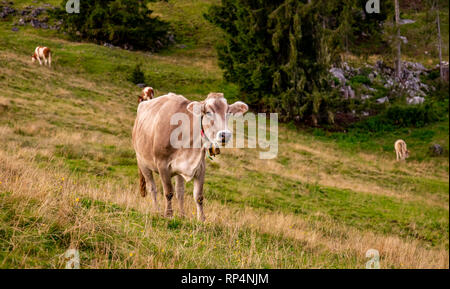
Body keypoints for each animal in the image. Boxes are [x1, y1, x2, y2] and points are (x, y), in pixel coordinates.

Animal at [132, 92, 248, 220]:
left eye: (228, 112)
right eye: (208, 112)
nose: (225, 135)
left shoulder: (200, 166)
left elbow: (198, 196)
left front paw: (202, 219)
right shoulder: (162, 164)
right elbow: (168, 192)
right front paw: (168, 215)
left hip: (177, 170)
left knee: (180, 191)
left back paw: (182, 215)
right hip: (142, 162)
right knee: (152, 188)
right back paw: (156, 210)